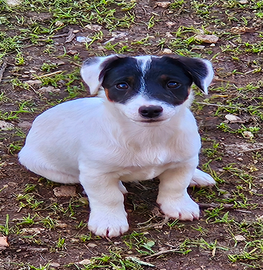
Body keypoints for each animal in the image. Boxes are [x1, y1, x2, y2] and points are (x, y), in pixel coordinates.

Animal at [19, 53, 217, 237]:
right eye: (122, 86)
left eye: (173, 84)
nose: (150, 110)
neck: (149, 136)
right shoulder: (96, 173)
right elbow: (108, 197)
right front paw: (108, 221)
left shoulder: (184, 163)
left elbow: (176, 186)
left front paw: (178, 205)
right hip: (53, 170)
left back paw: (197, 176)